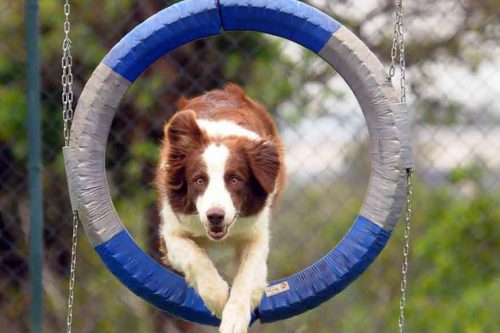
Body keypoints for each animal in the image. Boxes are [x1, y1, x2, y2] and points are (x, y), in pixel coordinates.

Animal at [156, 83, 286, 332]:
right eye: (199, 180)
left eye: (235, 180)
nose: (215, 216)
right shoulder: (171, 233)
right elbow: (196, 258)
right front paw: (218, 300)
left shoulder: (255, 234)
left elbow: (247, 276)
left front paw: (234, 319)